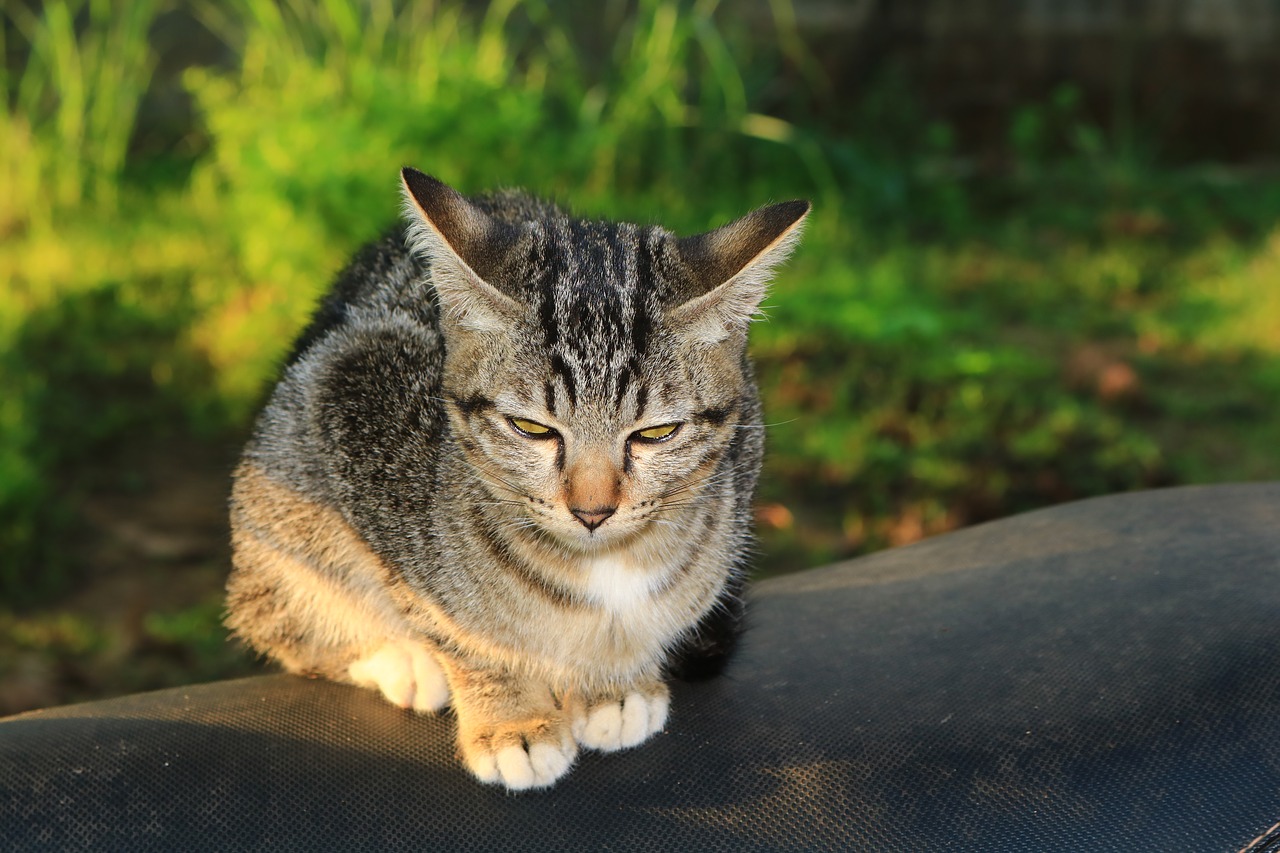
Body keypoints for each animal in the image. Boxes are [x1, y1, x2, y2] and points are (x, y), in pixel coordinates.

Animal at [227, 169, 808, 788]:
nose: (593, 511)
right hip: (283, 472)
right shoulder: (354, 397)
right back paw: (402, 659)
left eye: (655, 433)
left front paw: (614, 685)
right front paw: (513, 717)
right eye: (532, 428)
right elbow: (444, 617)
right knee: (275, 609)